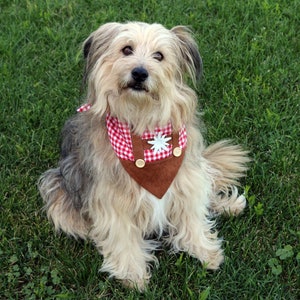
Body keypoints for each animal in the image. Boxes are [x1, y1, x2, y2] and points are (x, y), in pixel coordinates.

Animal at [38, 21, 250, 290]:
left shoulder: (186, 179)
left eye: (159, 56)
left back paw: (229, 205)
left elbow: (193, 216)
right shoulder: (112, 199)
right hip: (55, 187)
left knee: (208, 193)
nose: (140, 73)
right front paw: (132, 274)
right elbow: (122, 235)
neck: (143, 125)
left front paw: (204, 250)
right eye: (127, 49)